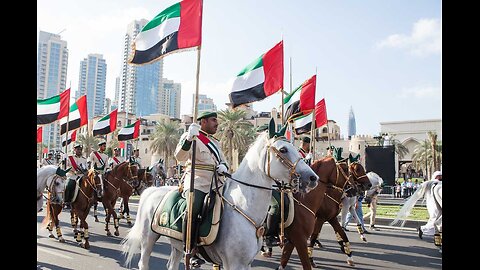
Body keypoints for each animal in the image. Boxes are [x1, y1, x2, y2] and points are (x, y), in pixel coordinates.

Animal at [123, 133, 318, 270]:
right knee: (143, 263)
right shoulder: (234, 263)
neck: (243, 208)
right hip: (148, 239)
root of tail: (153, 190)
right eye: (283, 149)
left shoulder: (246, 263)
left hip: (177, 243)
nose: (312, 178)